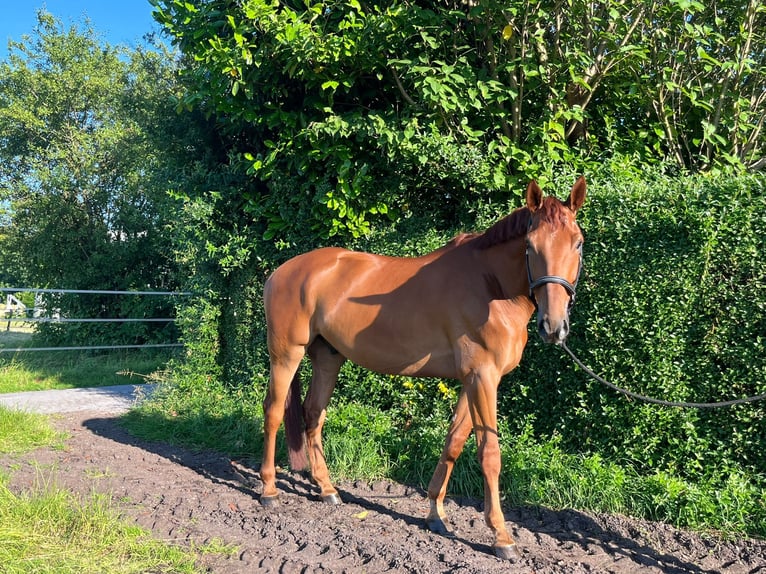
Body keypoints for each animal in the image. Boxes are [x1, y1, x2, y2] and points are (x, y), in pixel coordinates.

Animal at [260, 178, 588, 560]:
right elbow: (489, 454)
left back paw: (327, 490)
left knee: (314, 414)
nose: (554, 326)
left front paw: (435, 514)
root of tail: (282, 271)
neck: (490, 285)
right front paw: (501, 536)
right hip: (286, 354)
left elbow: (454, 443)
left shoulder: (472, 380)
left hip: (328, 358)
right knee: (273, 412)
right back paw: (268, 491)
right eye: (530, 245)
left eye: (578, 242)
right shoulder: (482, 377)